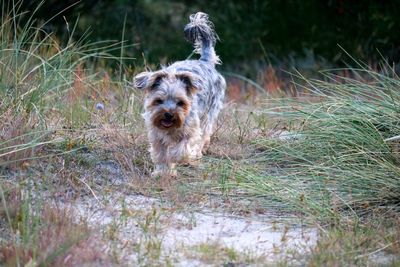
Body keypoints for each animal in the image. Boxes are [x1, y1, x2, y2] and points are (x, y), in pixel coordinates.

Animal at [134, 12, 225, 178]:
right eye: (158, 100)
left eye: (181, 102)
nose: (169, 114)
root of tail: (205, 61)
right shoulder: (156, 135)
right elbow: (161, 154)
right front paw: (162, 172)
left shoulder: (191, 130)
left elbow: (182, 148)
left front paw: (179, 158)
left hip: (208, 115)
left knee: (203, 137)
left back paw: (194, 157)